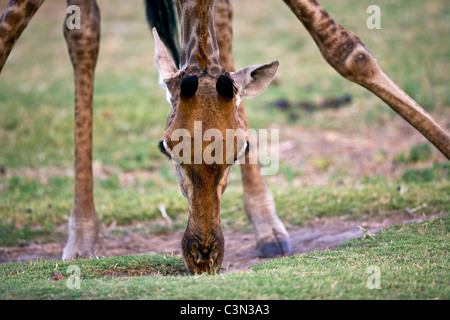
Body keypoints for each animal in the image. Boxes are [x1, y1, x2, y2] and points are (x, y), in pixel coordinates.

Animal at [0, 0, 448, 272]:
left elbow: (345, 49)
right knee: (83, 30)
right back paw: (81, 237)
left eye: (243, 147)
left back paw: (268, 228)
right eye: (166, 147)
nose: (204, 257)